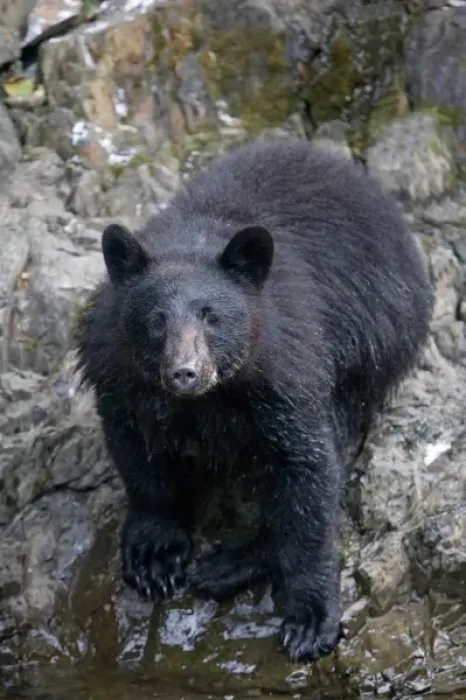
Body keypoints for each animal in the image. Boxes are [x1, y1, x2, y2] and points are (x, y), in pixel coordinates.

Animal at [76, 138, 433, 663]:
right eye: (156, 319)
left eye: (211, 317)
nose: (185, 373)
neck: (207, 400)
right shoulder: (117, 370)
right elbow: (138, 453)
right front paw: (155, 554)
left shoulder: (289, 368)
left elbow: (306, 469)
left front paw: (311, 620)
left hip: (374, 342)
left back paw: (228, 564)